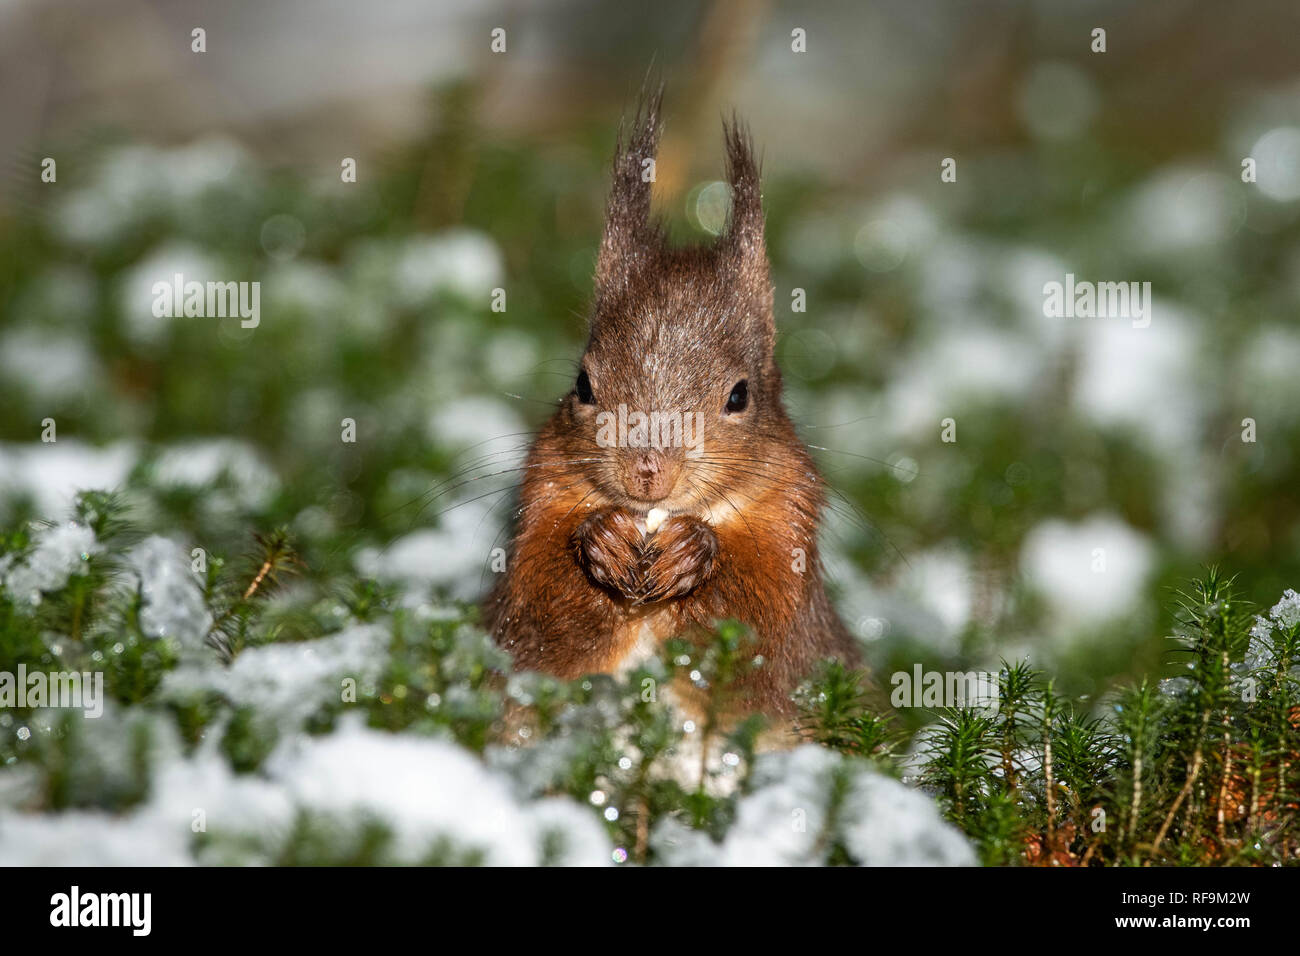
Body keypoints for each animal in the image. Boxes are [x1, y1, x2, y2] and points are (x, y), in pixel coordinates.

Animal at [483, 89, 857, 712]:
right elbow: (540, 616)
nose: (646, 472)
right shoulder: (543, 496)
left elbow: (760, 628)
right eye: (583, 384)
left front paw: (695, 551)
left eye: (740, 396)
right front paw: (601, 540)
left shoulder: (789, 529)